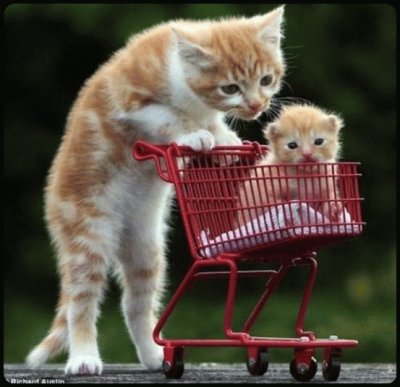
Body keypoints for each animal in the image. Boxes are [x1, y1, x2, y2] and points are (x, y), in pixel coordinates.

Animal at [26, 6, 286, 376]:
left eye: (266, 80)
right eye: (230, 87)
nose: (256, 105)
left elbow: (212, 122)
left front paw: (225, 138)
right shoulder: (130, 99)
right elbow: (168, 116)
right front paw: (194, 134)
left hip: (145, 245)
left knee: (134, 303)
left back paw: (153, 356)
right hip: (87, 232)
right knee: (82, 300)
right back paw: (83, 357)